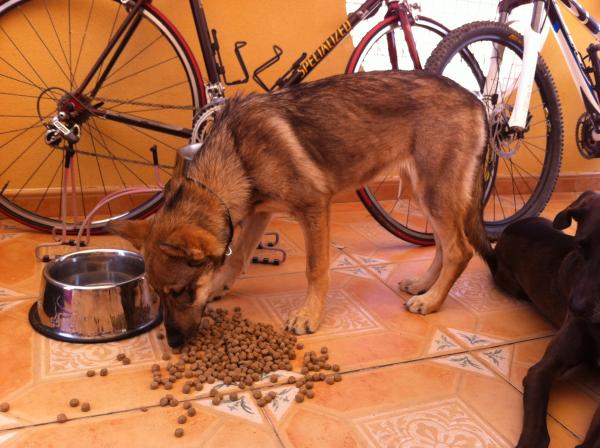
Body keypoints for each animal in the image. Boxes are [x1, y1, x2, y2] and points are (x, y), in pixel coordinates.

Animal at [110, 72, 494, 348]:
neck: (237, 156)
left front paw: (309, 316)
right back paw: (423, 286)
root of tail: (475, 101)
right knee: (444, 245)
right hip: (425, 192)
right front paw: (220, 284)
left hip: (433, 192)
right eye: (158, 294)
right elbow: (237, 257)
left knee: (460, 249)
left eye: (180, 292)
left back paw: (431, 302)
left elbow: (315, 269)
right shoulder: (259, 213)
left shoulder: (314, 208)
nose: (174, 343)